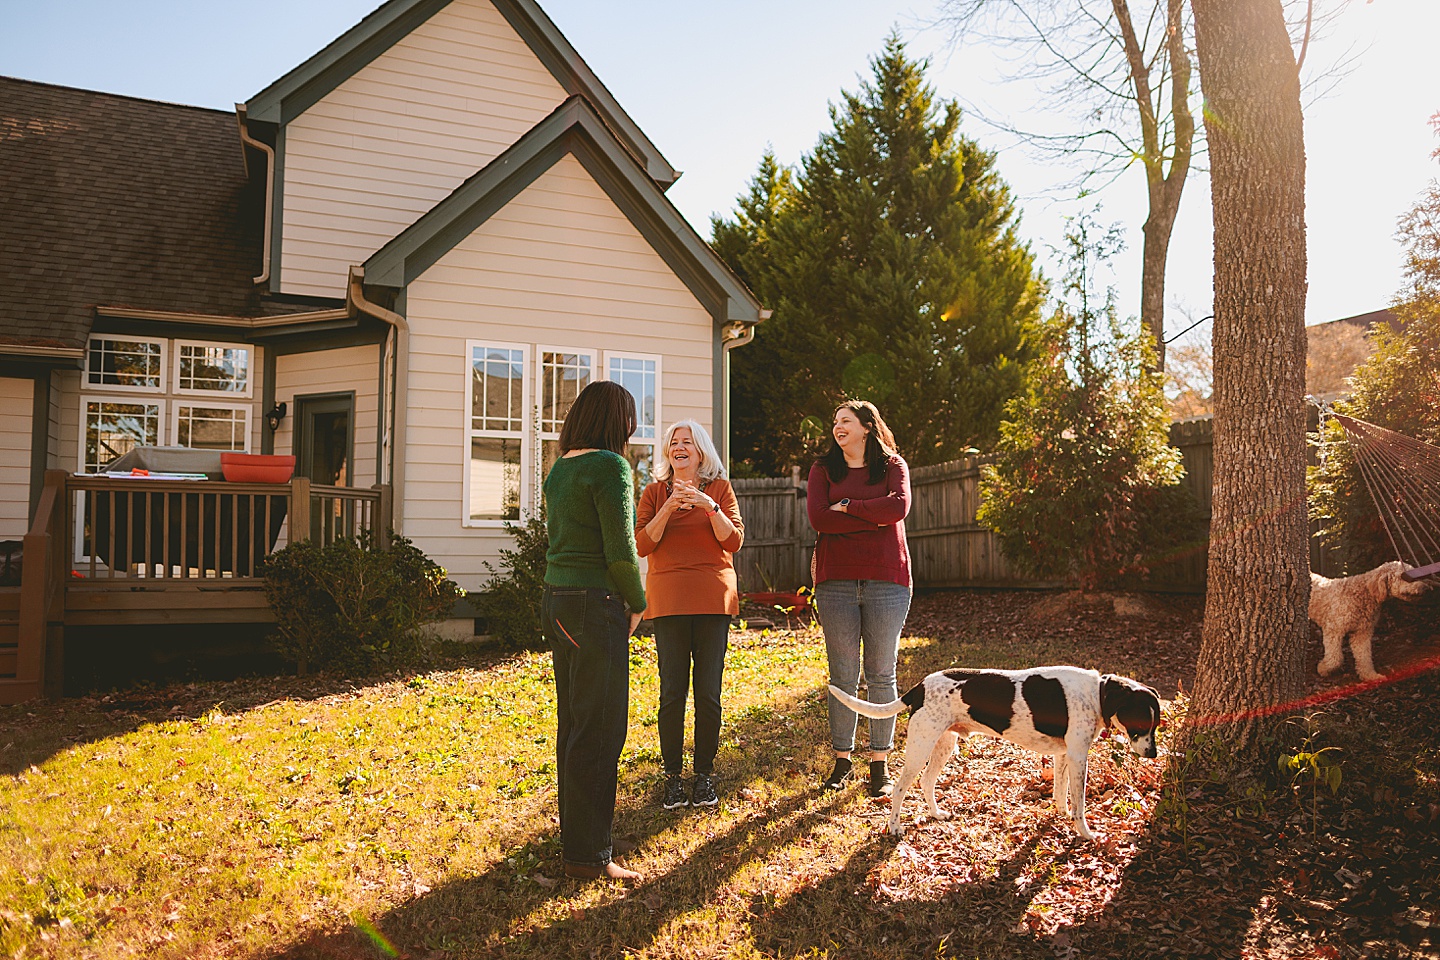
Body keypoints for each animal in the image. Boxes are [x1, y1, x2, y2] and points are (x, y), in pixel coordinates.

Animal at [835, 667, 1157, 840]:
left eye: (1157, 724)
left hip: (944, 744)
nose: (1154, 754)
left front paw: (1061, 815)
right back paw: (894, 827)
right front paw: (1086, 833)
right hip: (920, 746)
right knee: (901, 788)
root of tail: (920, 686)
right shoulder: (1079, 756)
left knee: (926, 782)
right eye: (1142, 723)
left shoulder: (1065, 754)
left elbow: (1061, 793)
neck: (1097, 693)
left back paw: (937, 814)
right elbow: (1079, 805)